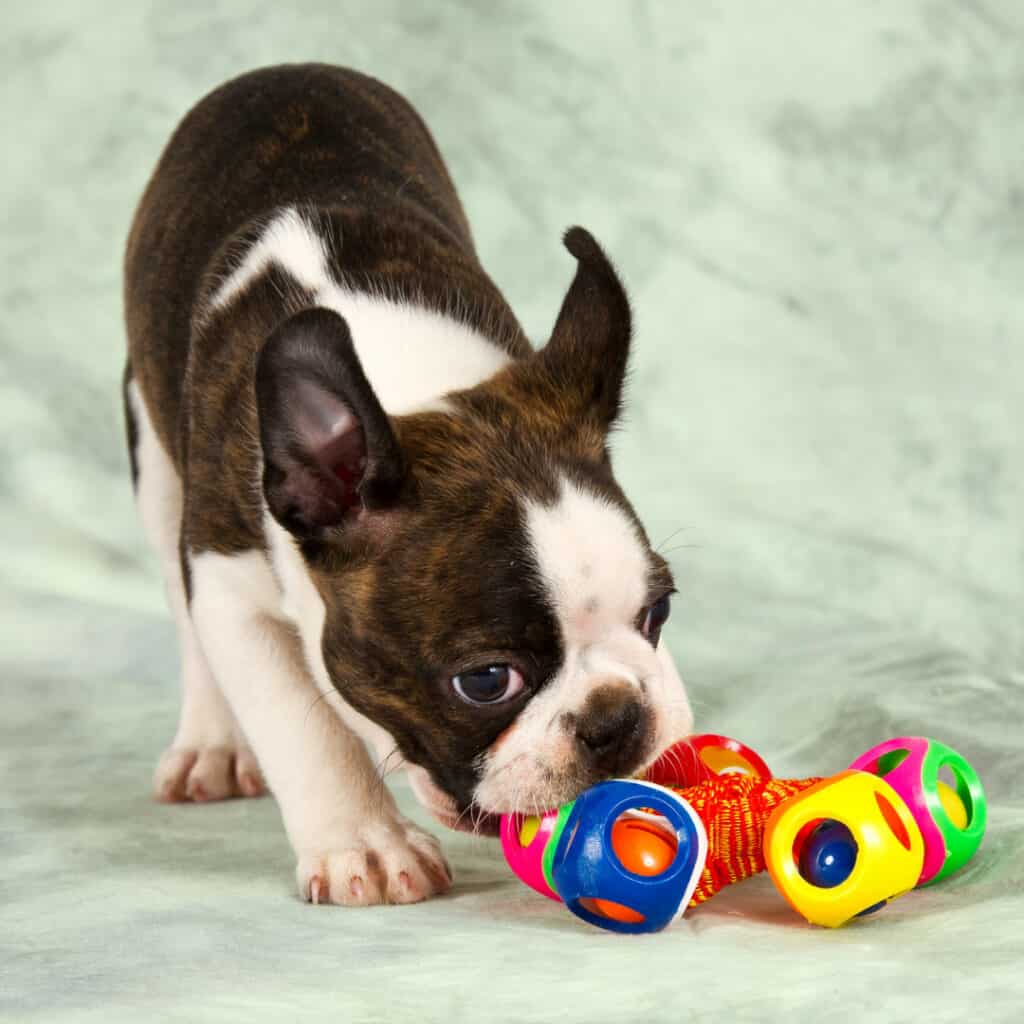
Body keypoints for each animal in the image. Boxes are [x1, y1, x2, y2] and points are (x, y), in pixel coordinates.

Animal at [123, 64, 692, 905]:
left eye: (658, 612)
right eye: (486, 681)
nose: (617, 717)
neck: (412, 392)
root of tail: (283, 70)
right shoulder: (228, 580)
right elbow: (304, 724)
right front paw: (362, 845)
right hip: (157, 464)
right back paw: (211, 745)